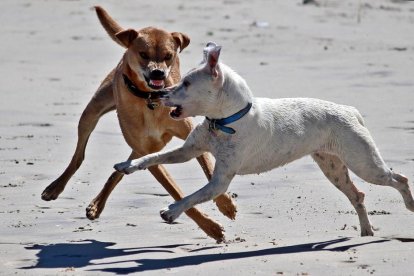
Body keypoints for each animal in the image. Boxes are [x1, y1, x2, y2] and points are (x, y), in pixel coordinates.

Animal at [42, 5, 238, 240]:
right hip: (93, 110)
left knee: (120, 167)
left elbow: (208, 168)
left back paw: (97, 203)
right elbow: (175, 191)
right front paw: (211, 227)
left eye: (169, 56)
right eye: (143, 54)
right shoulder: (148, 152)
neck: (150, 100)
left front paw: (225, 204)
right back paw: (56, 188)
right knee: (79, 155)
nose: (158, 72)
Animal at [115, 42, 414, 236]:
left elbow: (192, 197)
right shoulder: (189, 151)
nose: (159, 94)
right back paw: (366, 230)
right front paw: (128, 166)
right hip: (334, 168)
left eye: (186, 84)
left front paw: (172, 211)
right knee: (358, 195)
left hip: (365, 164)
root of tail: (350, 110)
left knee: (399, 179)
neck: (225, 121)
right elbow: (153, 156)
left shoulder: (220, 182)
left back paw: (409, 205)